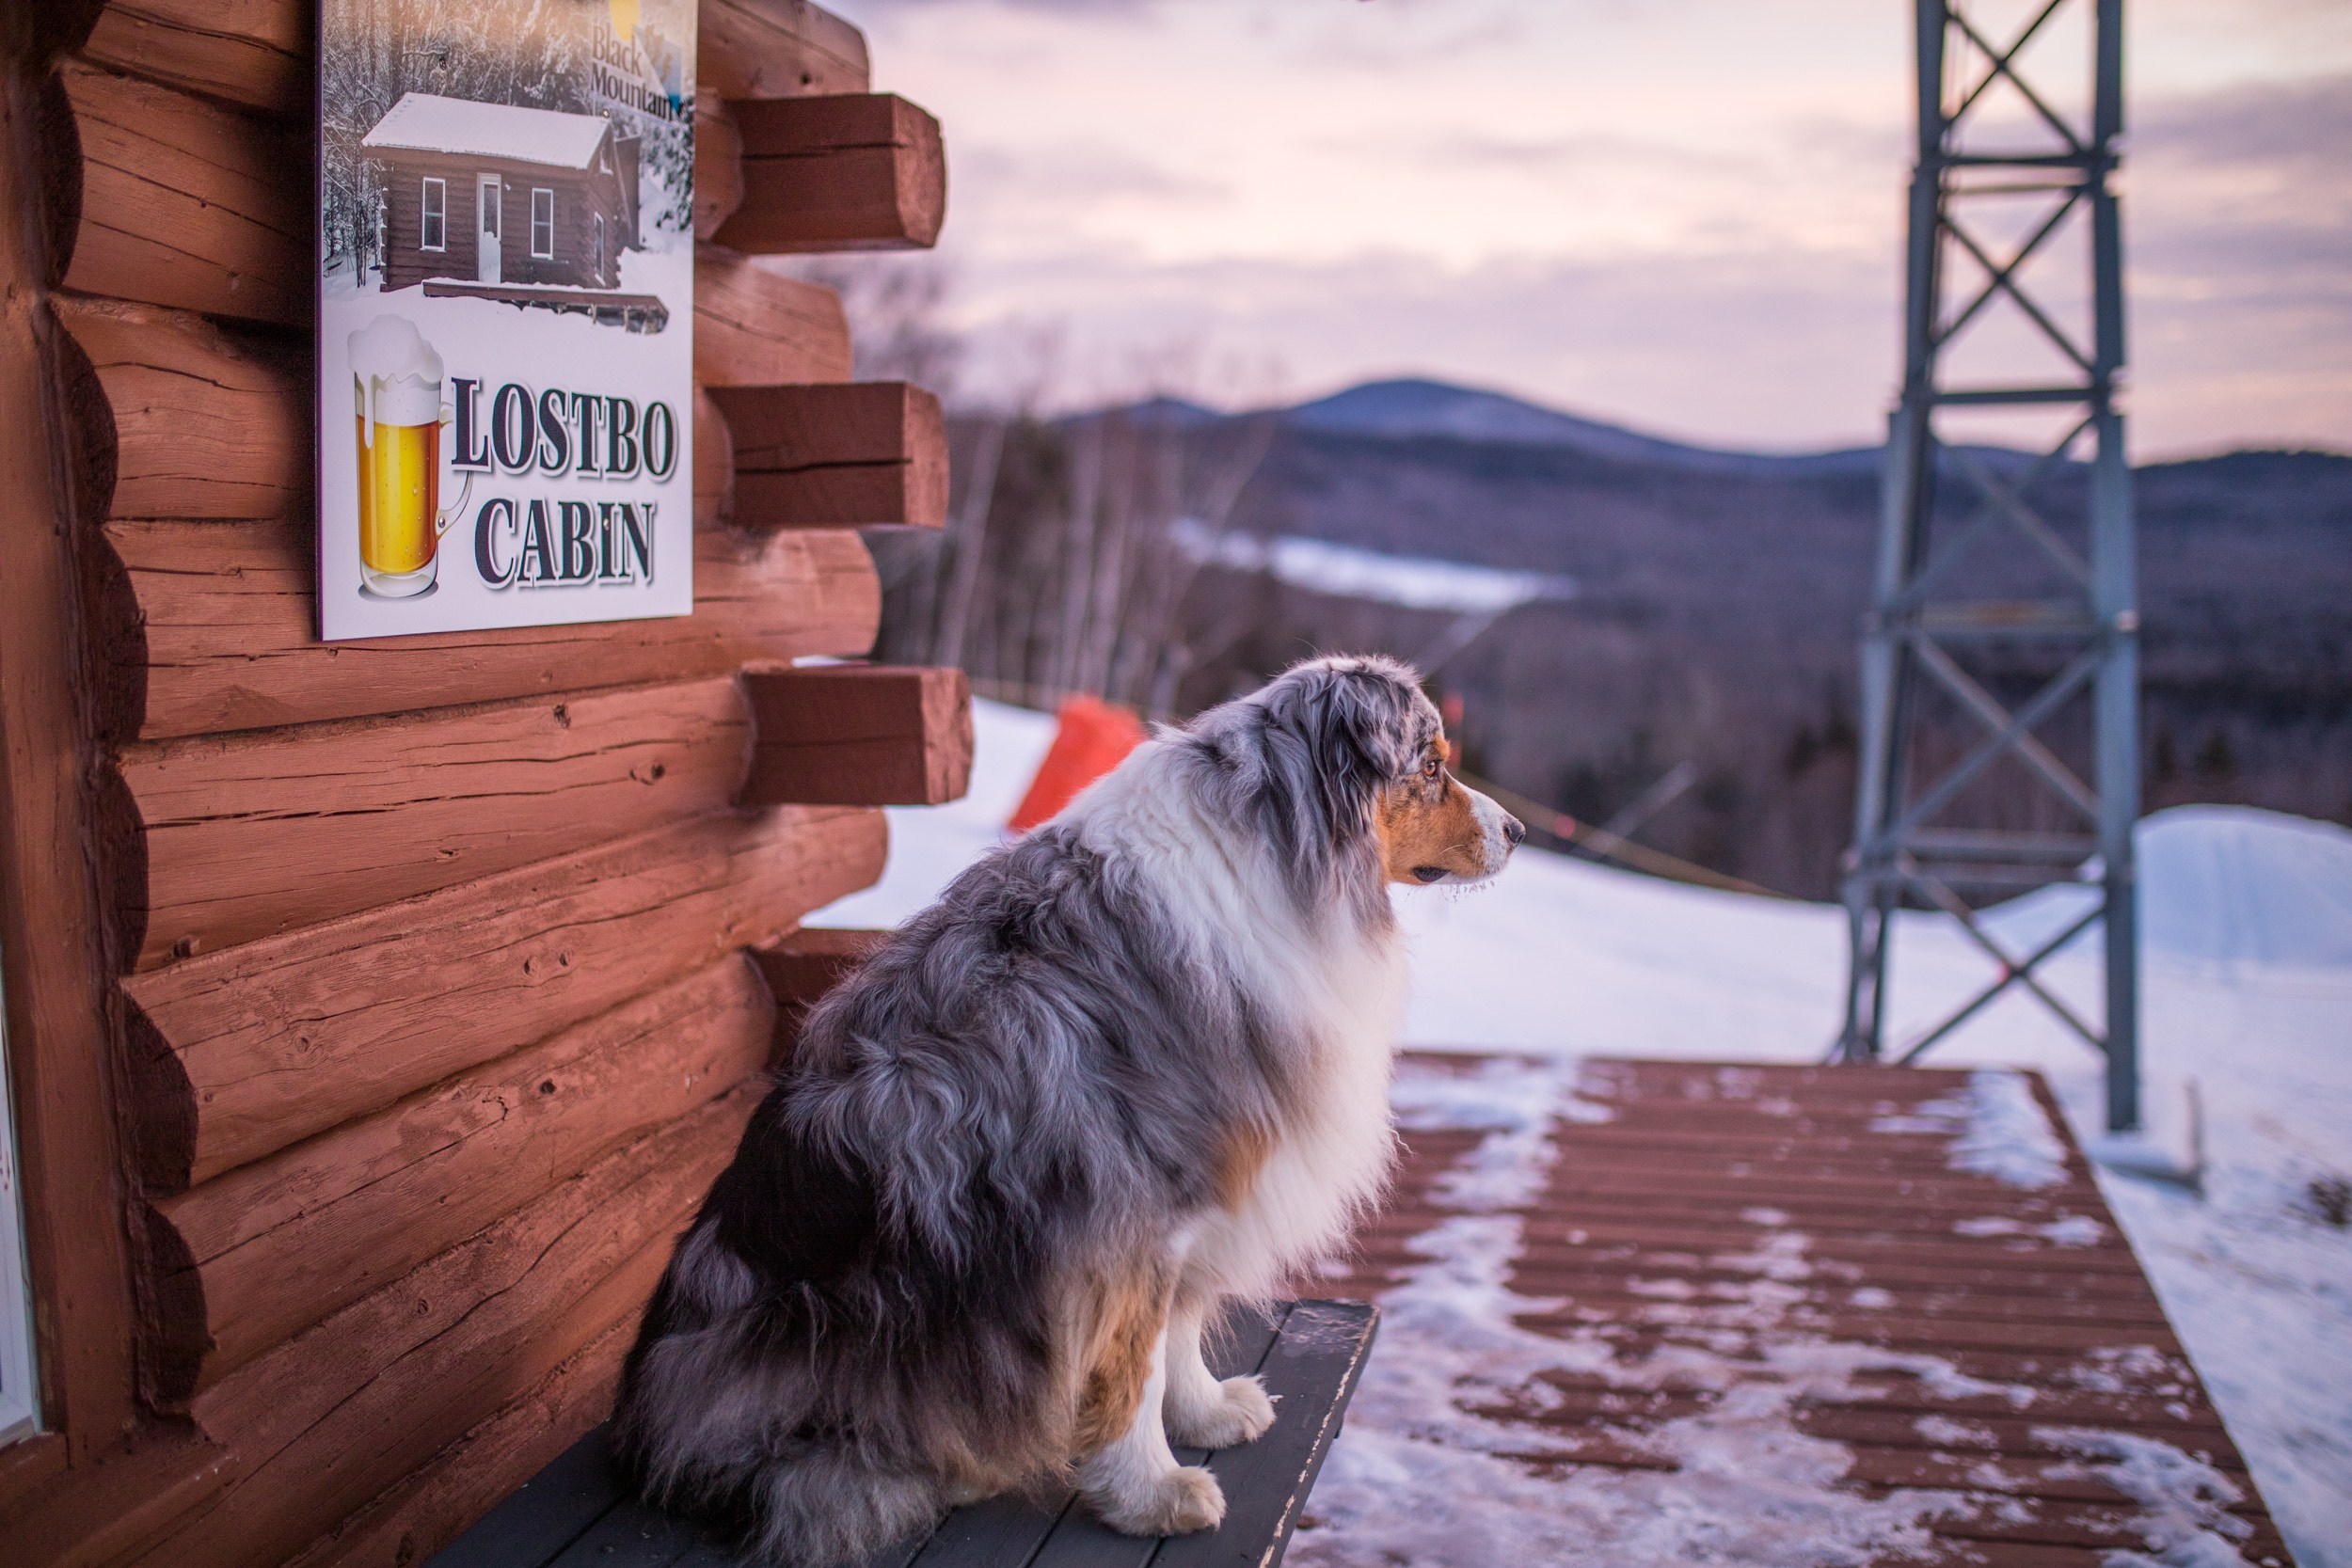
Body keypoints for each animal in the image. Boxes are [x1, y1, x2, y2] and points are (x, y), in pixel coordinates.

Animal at [616, 648, 1515, 1560]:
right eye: (1431, 765)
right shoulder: (1133, 1211)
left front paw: (1204, 1411)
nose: (1516, 830)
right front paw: (1150, 1491)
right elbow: (1133, 1362)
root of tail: (645, 1428)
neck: (1275, 859)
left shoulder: (1198, 1199)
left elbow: (1179, 1327)